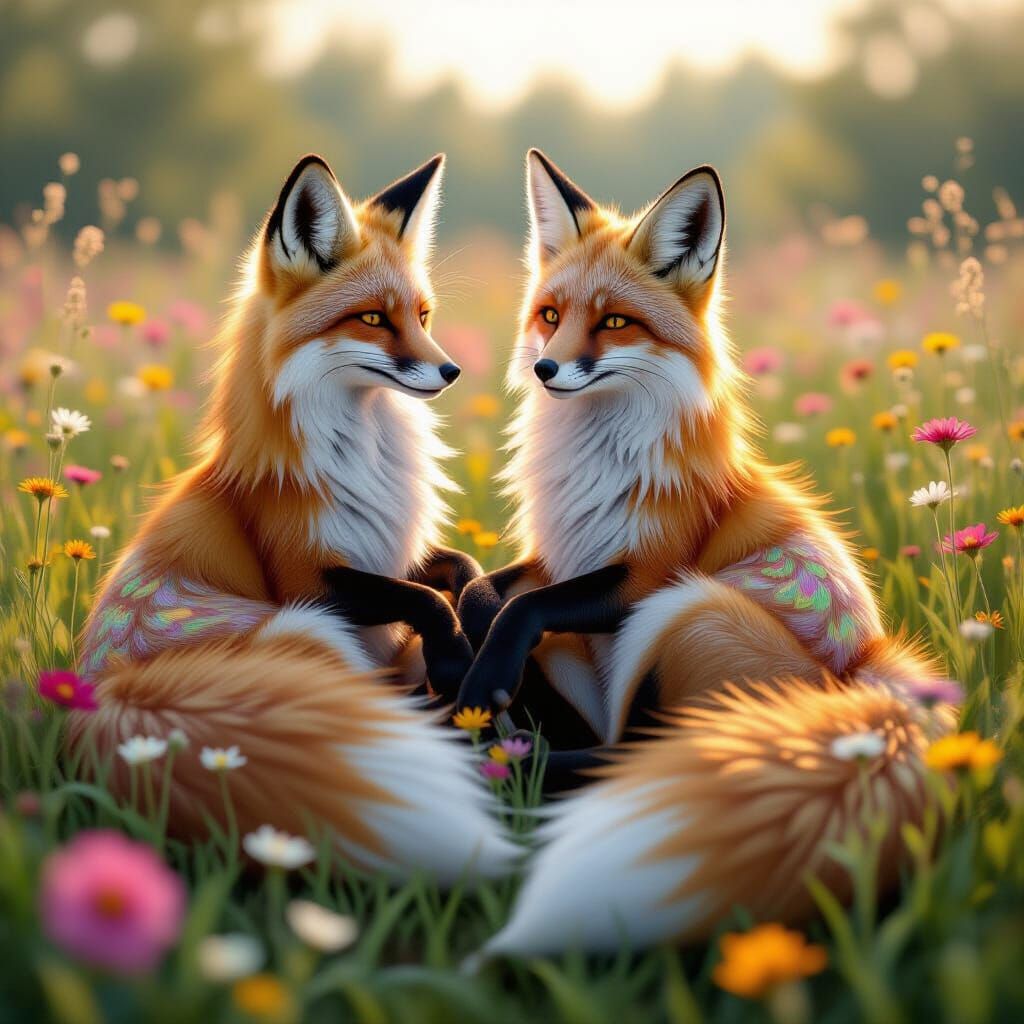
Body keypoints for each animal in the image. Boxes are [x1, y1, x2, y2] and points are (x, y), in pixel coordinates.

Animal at [70, 153, 519, 883]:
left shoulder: (386, 544)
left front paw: (479, 619)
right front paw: (455, 659)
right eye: (373, 318)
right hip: (310, 630)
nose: (451, 370)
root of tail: (104, 703)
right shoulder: (308, 578)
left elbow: (463, 568)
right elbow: (422, 598)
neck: (364, 452)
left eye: (423, 315)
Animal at [456, 150, 953, 955]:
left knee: (635, 755)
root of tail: (866, 677)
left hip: (682, 612)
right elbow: (483, 591)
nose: (546, 371)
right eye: (551, 316)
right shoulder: (562, 556)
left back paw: (519, 768)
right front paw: (478, 657)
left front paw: (483, 683)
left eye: (615, 322)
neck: (594, 463)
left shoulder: (647, 574)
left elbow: (523, 609)